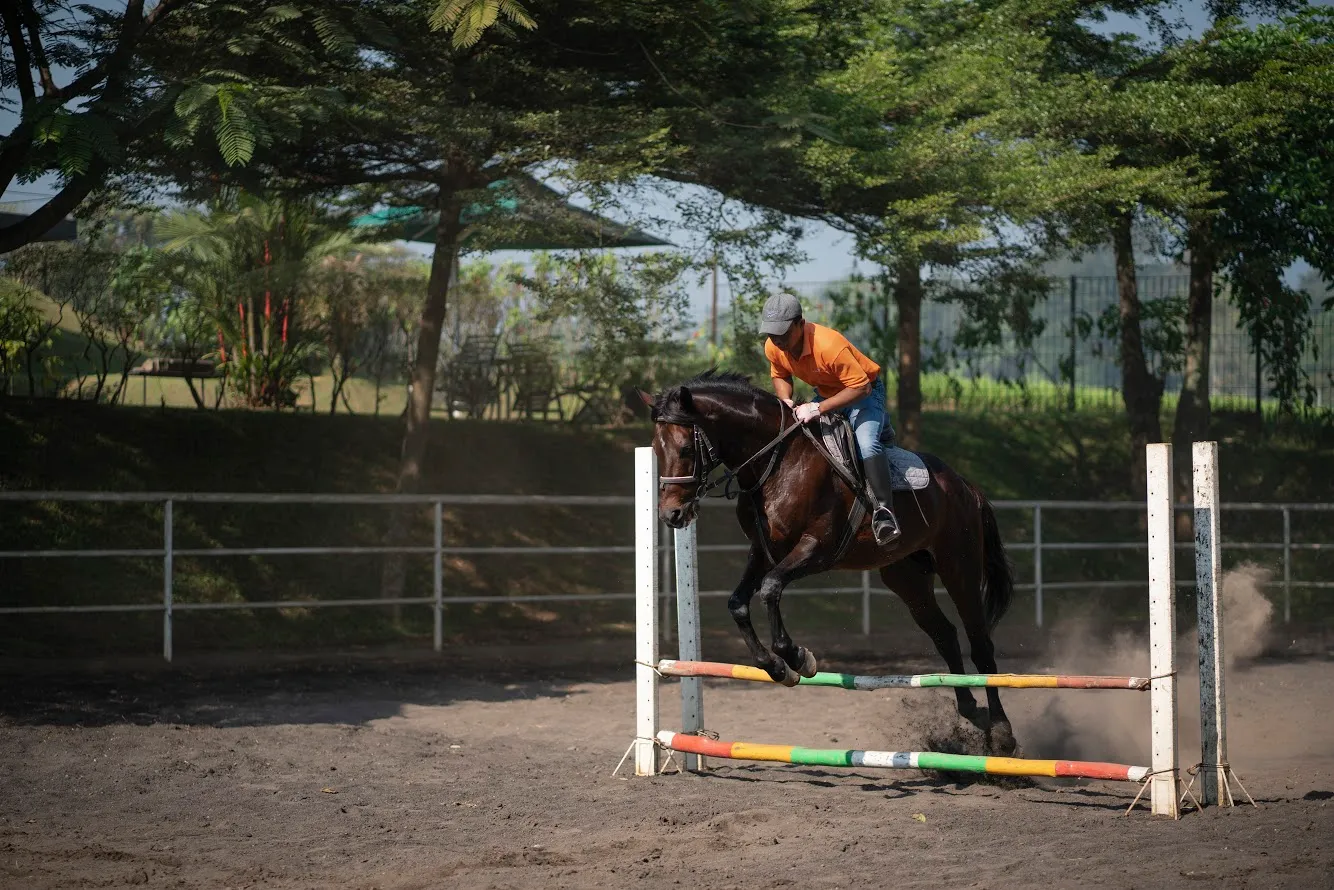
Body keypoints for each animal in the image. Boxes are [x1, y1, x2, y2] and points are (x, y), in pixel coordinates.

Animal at [642, 370, 1018, 755]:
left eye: (686, 449)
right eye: (656, 450)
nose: (671, 515)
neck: (777, 462)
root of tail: (965, 485)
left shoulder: (816, 548)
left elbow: (770, 589)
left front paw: (796, 657)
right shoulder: (763, 551)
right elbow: (738, 603)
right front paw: (775, 668)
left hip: (960, 567)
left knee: (980, 644)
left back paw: (1002, 733)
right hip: (907, 578)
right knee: (945, 635)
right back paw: (970, 710)